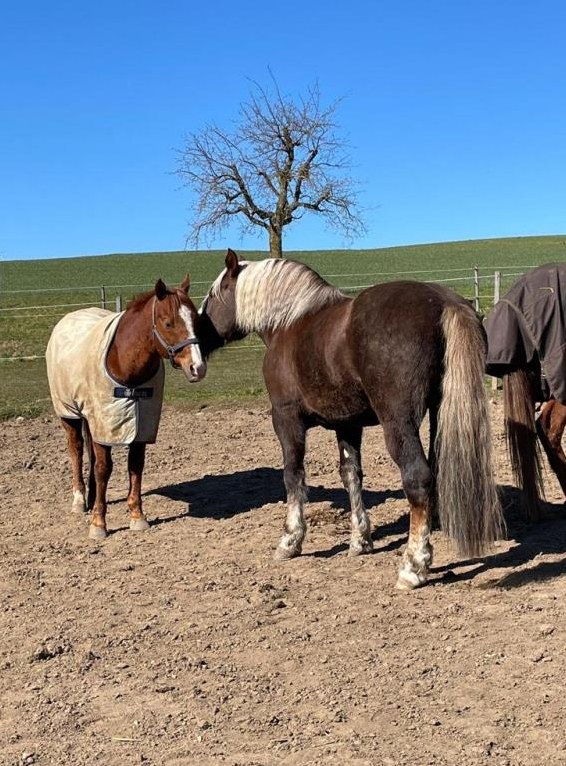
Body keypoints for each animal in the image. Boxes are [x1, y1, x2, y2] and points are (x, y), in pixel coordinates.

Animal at [46, 275, 206, 540]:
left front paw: (137, 516)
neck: (123, 362)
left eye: (195, 320)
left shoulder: (140, 426)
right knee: (76, 450)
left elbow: (135, 466)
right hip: (69, 413)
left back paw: (92, 496)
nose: (197, 367)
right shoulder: (104, 423)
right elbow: (104, 469)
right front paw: (98, 524)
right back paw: (80, 500)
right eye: (168, 323)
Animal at [199, 249, 503, 589]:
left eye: (213, 295)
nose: (196, 335)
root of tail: (442, 301)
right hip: (440, 411)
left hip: (398, 422)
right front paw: (360, 540)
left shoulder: (286, 419)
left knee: (418, 478)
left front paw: (290, 541)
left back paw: (413, 566)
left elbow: (293, 475)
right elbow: (351, 476)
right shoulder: (347, 424)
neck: (288, 323)